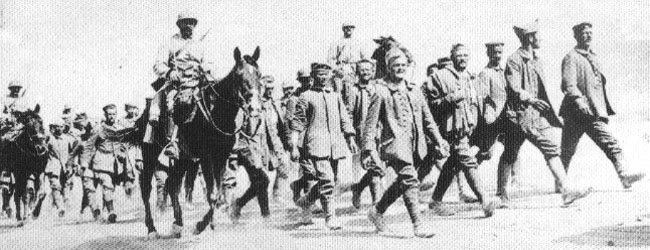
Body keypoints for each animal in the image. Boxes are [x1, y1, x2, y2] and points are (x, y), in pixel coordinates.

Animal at [132, 47, 260, 238]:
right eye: (239, 76)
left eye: (258, 74)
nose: (254, 108)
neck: (216, 112)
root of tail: (145, 112)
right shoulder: (206, 158)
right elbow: (212, 194)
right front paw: (201, 226)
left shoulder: (221, 157)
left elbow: (219, 193)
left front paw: (208, 223)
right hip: (150, 154)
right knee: (146, 188)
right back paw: (152, 229)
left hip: (183, 160)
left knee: (172, 184)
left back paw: (177, 224)